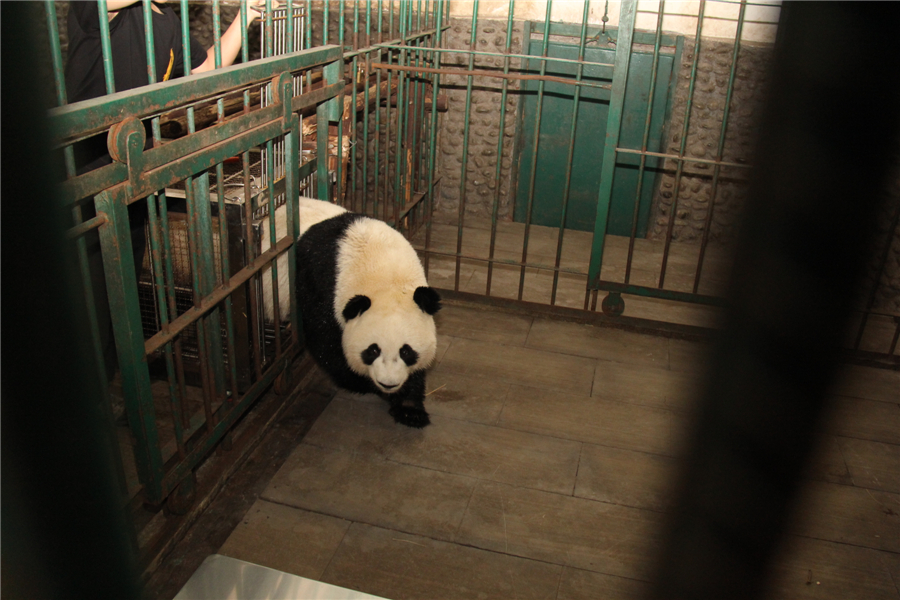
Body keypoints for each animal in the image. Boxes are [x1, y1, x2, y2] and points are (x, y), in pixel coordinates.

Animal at [258, 197, 442, 426]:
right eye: (372, 350)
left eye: (406, 351)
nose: (388, 383)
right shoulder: (323, 286)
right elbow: (328, 344)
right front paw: (363, 383)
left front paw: (410, 409)